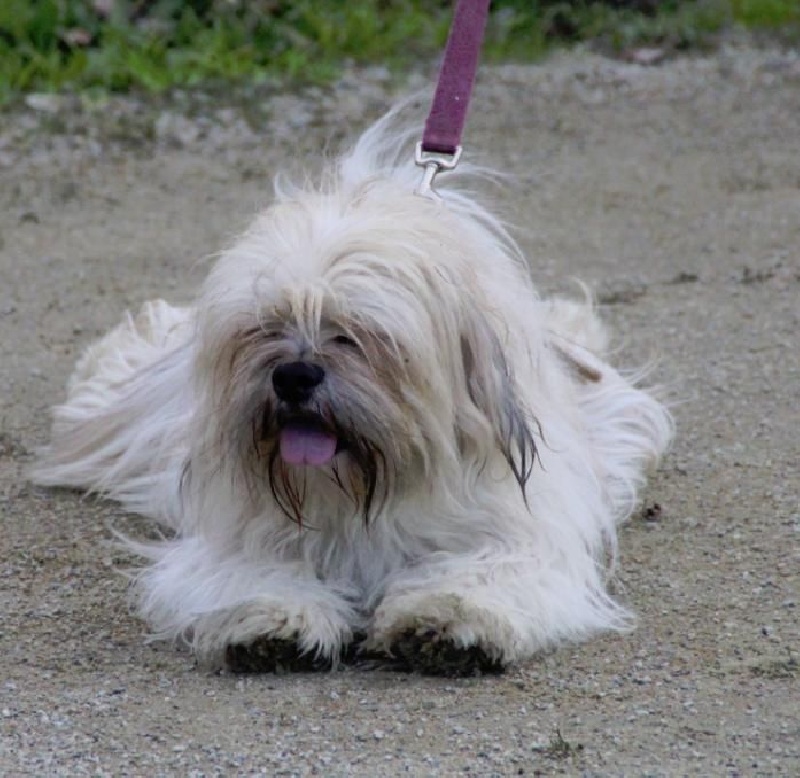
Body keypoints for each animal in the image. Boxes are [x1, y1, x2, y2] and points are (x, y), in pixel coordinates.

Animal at [32, 109, 668, 672]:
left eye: (355, 334)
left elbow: (486, 572)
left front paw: (447, 620)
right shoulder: (238, 539)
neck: (361, 492)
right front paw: (273, 621)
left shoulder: (521, 533)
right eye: (266, 327)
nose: (293, 375)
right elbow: (257, 573)